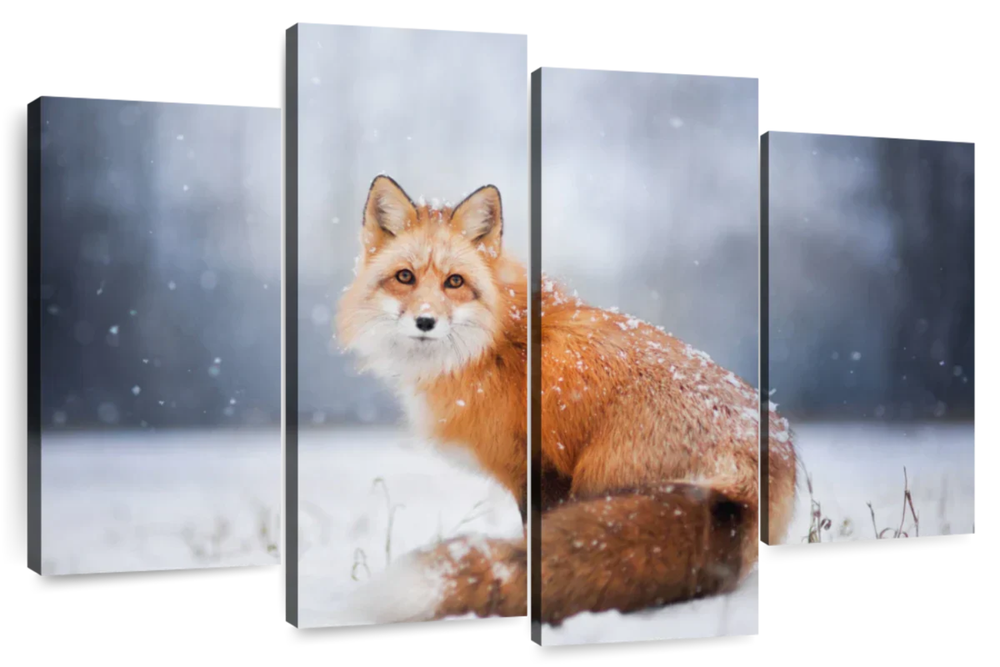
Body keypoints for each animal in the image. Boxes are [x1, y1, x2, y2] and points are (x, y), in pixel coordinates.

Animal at [335, 174, 797, 625]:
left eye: (455, 282)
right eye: (405, 277)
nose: (426, 321)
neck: (497, 344)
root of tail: (747, 477)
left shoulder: (541, 469)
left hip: (598, 479)